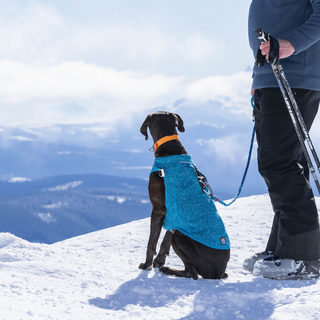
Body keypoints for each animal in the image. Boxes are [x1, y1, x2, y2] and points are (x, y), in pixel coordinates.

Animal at [138, 112, 230, 280]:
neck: (170, 148)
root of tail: (220, 271)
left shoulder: (158, 209)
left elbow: (152, 242)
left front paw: (147, 265)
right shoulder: (175, 216)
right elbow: (165, 239)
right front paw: (158, 261)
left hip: (180, 238)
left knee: (192, 273)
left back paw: (169, 270)